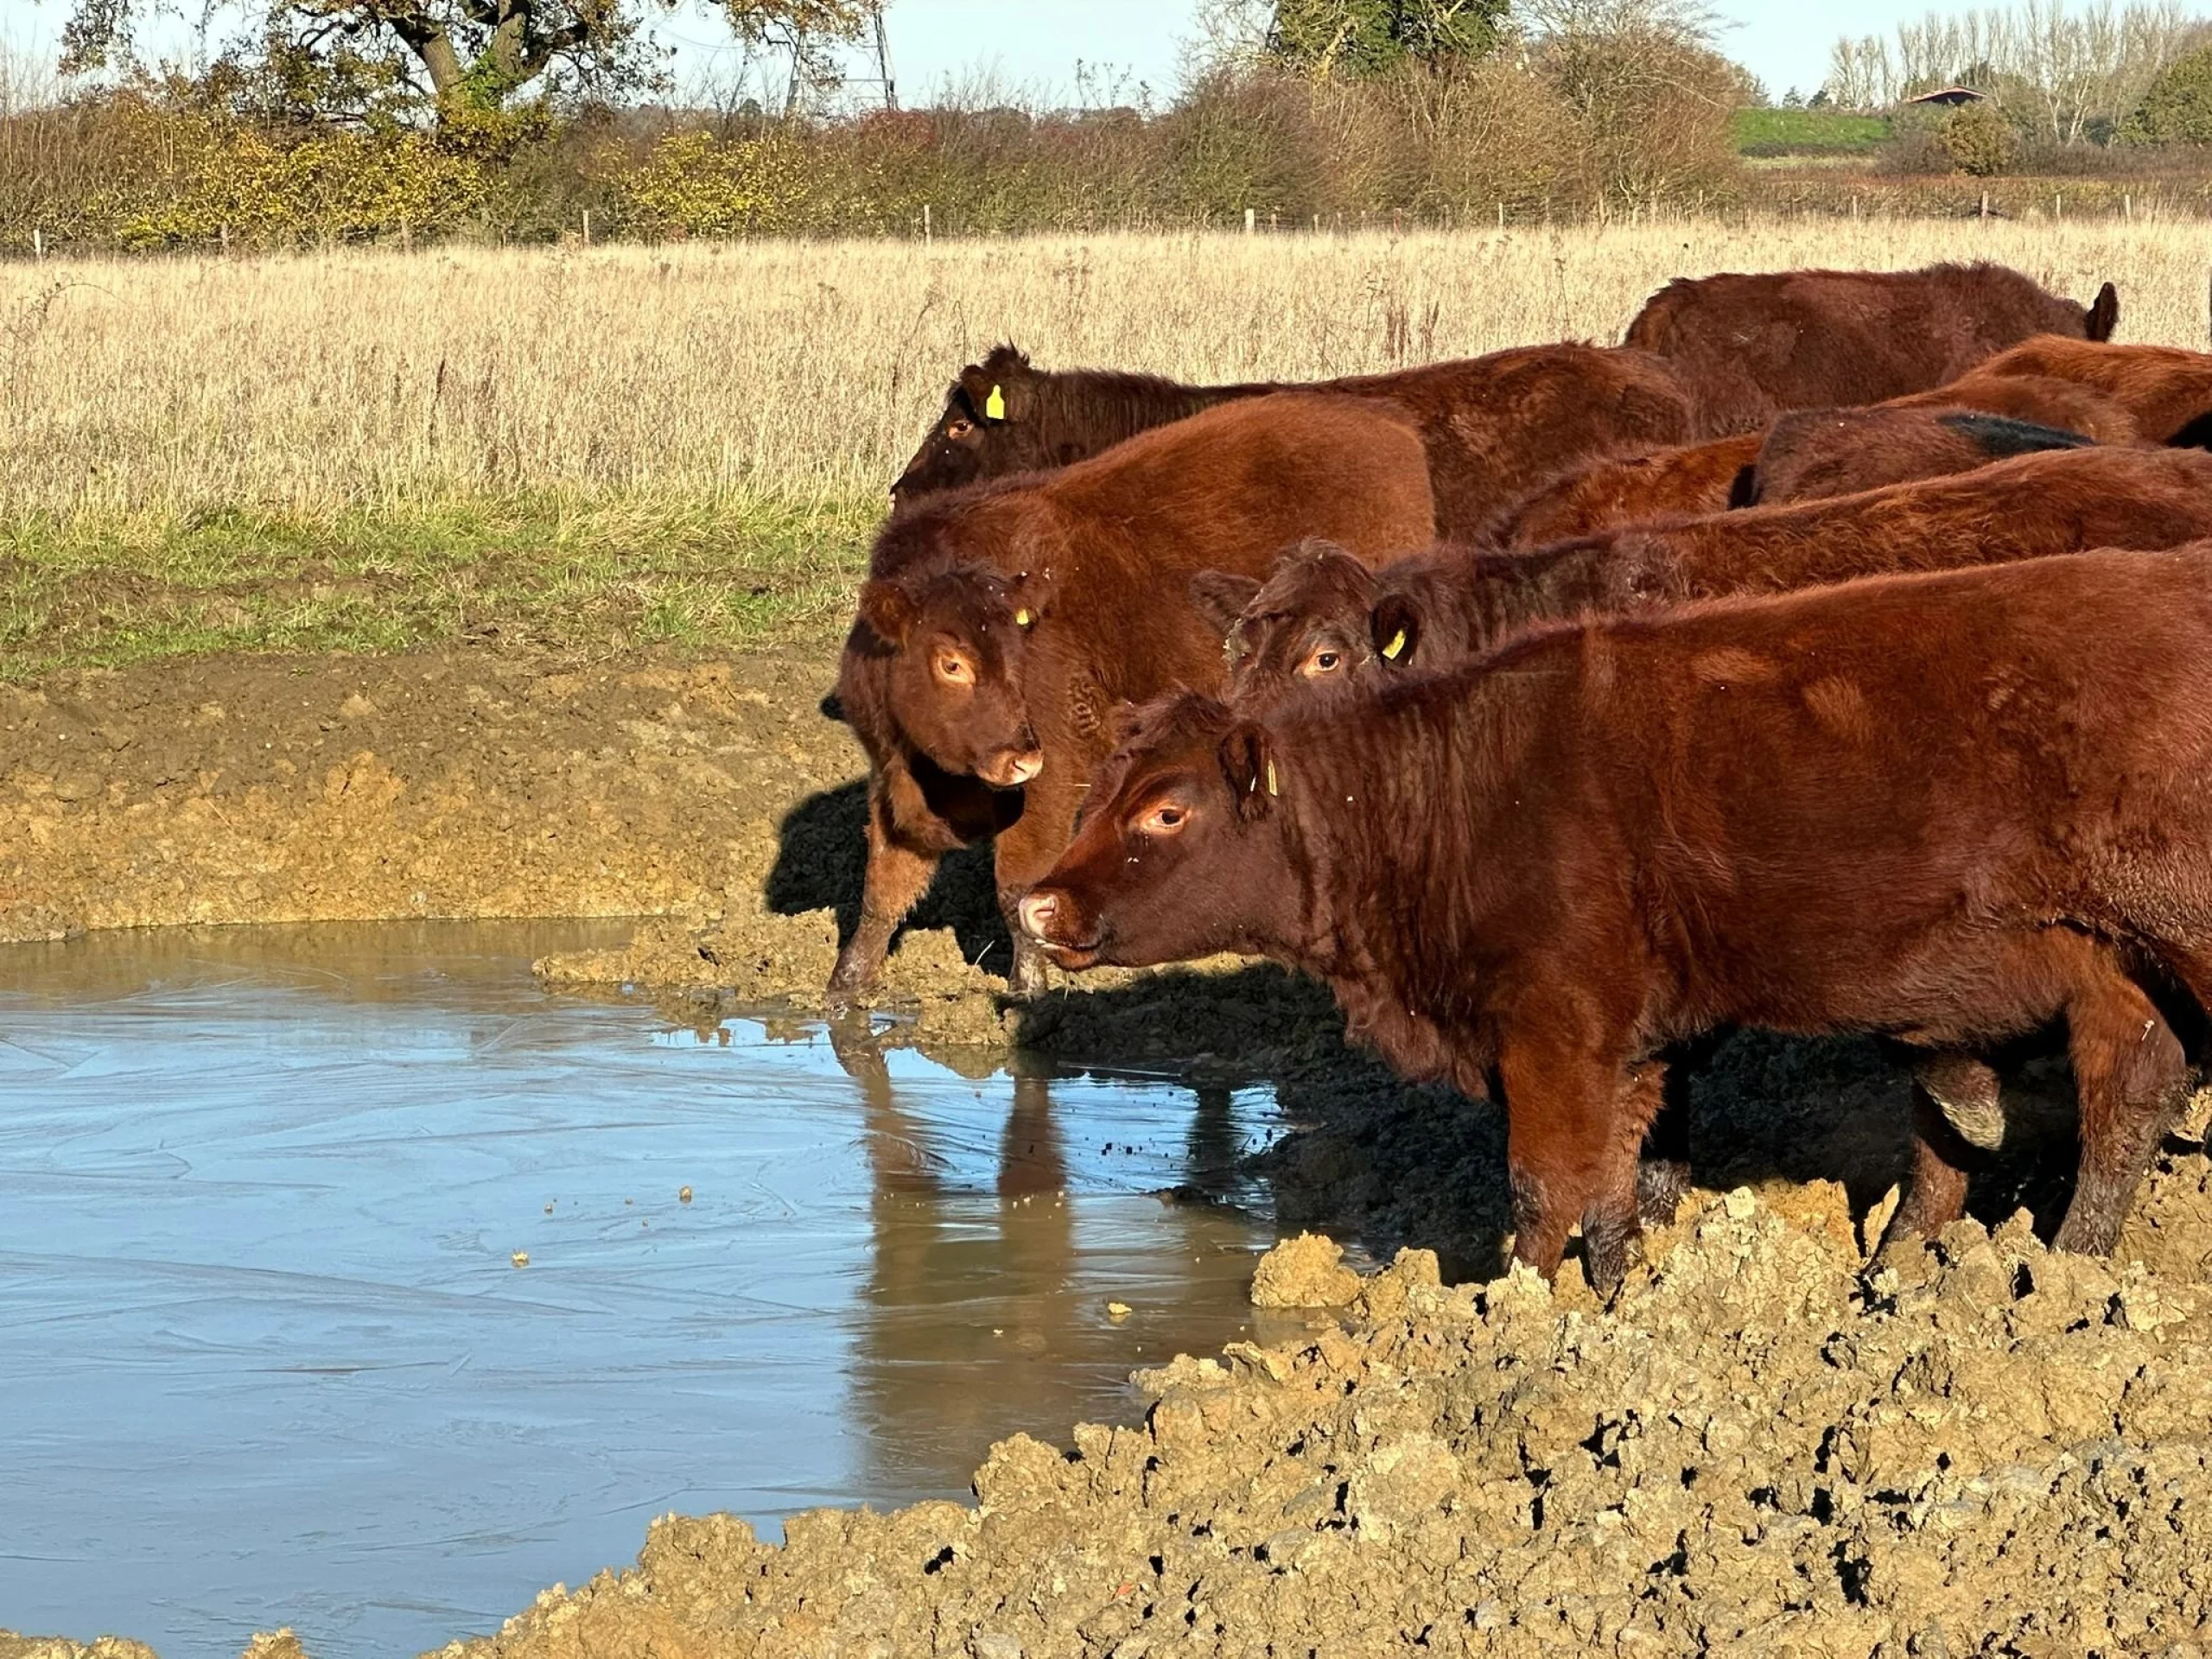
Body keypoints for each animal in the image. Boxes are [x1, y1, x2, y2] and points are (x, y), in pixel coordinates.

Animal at [831, 392, 1438, 1002]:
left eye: (1018, 651)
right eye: (951, 662)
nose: (1019, 758)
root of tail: (1391, 432)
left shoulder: (1050, 784)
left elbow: (1017, 889)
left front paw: (1029, 987)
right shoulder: (896, 788)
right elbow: (881, 891)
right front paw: (844, 989)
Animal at [1018, 547, 2212, 1293]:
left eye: (1167, 810)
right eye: (1094, 797)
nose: (1038, 903)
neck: (1457, 792)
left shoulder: (1554, 1033)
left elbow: (1544, 1186)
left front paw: (1505, 1320)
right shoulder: (1626, 1048)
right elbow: (1612, 1187)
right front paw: (1616, 1295)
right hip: (2108, 972)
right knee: (2117, 1102)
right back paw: (2040, 1270)